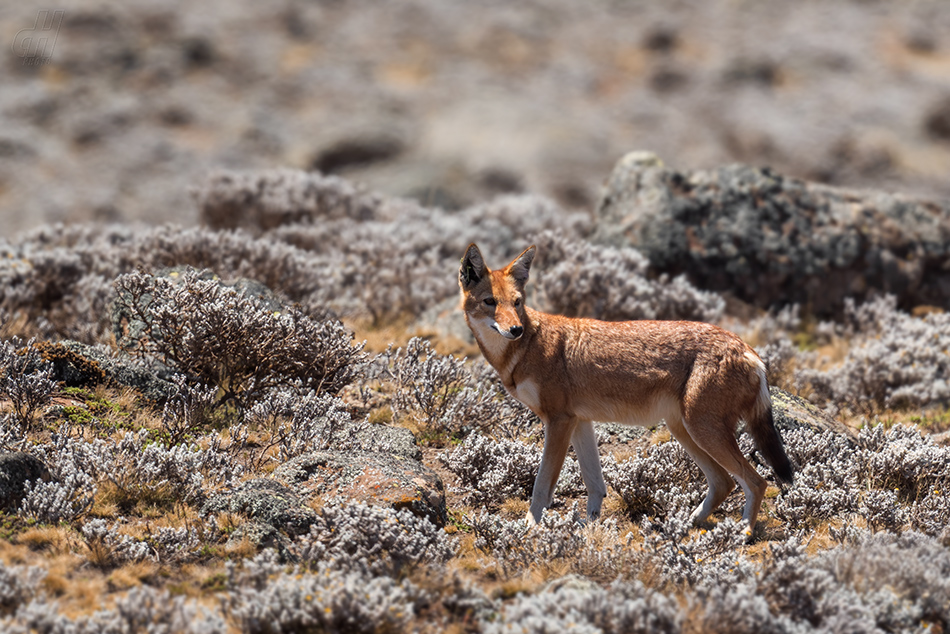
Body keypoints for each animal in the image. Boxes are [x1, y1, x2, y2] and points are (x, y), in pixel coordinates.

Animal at [462, 244, 796, 532]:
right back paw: (687, 524)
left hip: (702, 430)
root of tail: (748, 350)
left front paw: (530, 527)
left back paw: (743, 532)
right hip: (685, 430)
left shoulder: (558, 421)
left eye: (517, 303)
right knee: (725, 482)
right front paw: (591, 525)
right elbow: (595, 483)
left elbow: (542, 485)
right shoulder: (578, 421)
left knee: (757, 481)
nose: (515, 330)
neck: (524, 348)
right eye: (490, 302)